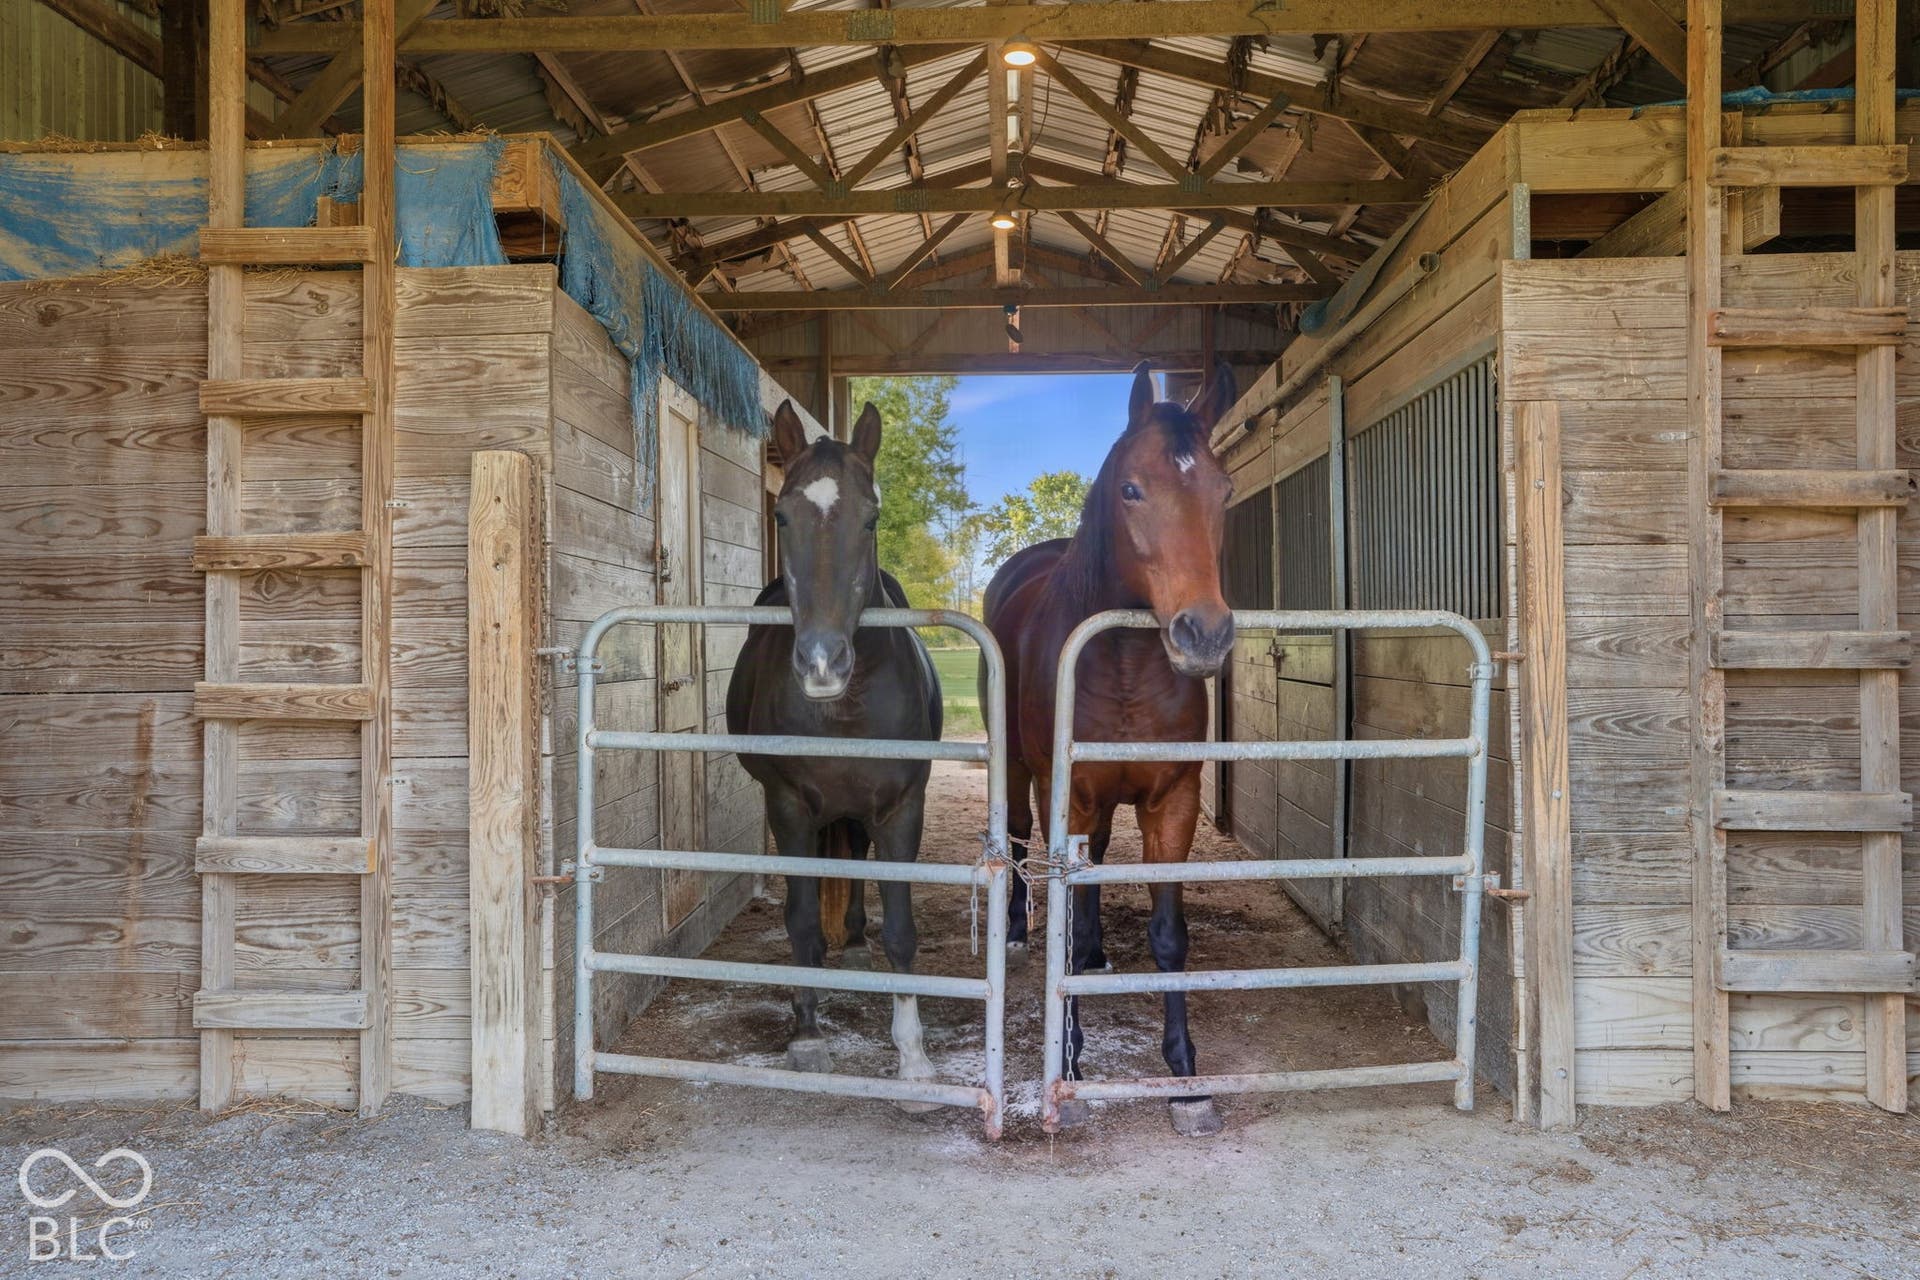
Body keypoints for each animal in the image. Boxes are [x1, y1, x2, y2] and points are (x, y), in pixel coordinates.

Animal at [726, 398, 945, 1107]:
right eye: (782, 516)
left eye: (870, 516)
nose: (822, 663)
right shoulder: (789, 805)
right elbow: (799, 920)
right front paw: (806, 1034)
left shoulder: (903, 807)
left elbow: (902, 931)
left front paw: (913, 1058)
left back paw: (852, 943)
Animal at [982, 360, 1239, 1137]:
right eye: (1132, 489)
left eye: (1224, 490)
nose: (1203, 633)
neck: (1122, 663)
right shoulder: (1063, 791)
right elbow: (1064, 917)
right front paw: (1066, 1063)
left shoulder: (1171, 802)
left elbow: (1169, 935)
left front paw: (1186, 1078)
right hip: (1024, 776)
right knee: (1022, 840)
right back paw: (1018, 932)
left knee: (1091, 869)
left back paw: (1096, 957)